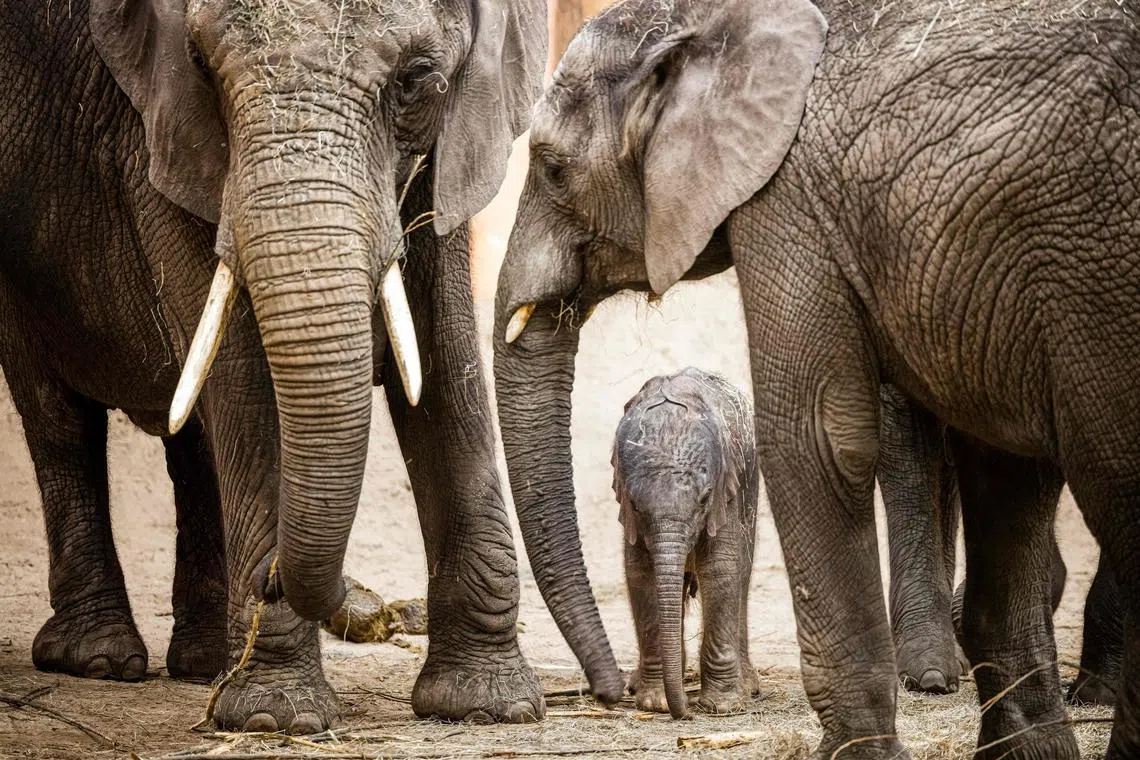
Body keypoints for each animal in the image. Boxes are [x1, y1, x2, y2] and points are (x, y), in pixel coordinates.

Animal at [0, 0, 547, 731]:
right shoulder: (159, 132)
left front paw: (489, 707)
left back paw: (203, 664)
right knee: (59, 420)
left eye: (415, 79)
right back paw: (99, 660)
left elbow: (444, 351)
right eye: (202, 69)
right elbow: (245, 379)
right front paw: (273, 718)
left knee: (190, 440)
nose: (377, 612)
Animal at [612, 367, 759, 718]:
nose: (686, 713)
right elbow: (641, 572)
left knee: (742, 573)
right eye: (635, 504)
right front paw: (656, 703)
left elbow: (720, 569)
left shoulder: (726, 489)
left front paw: (722, 706)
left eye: (705, 498)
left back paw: (748, 687)